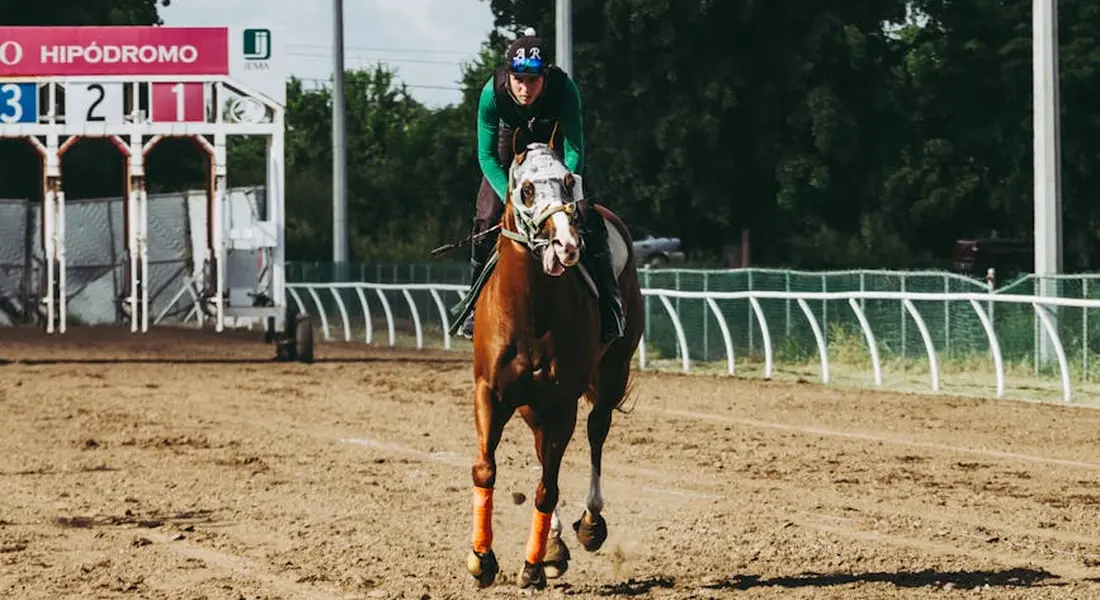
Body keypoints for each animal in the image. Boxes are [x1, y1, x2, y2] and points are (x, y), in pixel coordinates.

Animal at [464, 142, 645, 590]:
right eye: (526, 189)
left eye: (567, 180)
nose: (566, 243)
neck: (530, 310)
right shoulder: (490, 392)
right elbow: (486, 469)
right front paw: (482, 559)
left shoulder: (562, 400)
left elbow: (548, 485)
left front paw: (530, 566)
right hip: (532, 403)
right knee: (541, 446)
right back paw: (553, 546)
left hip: (613, 368)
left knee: (596, 431)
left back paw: (589, 524)